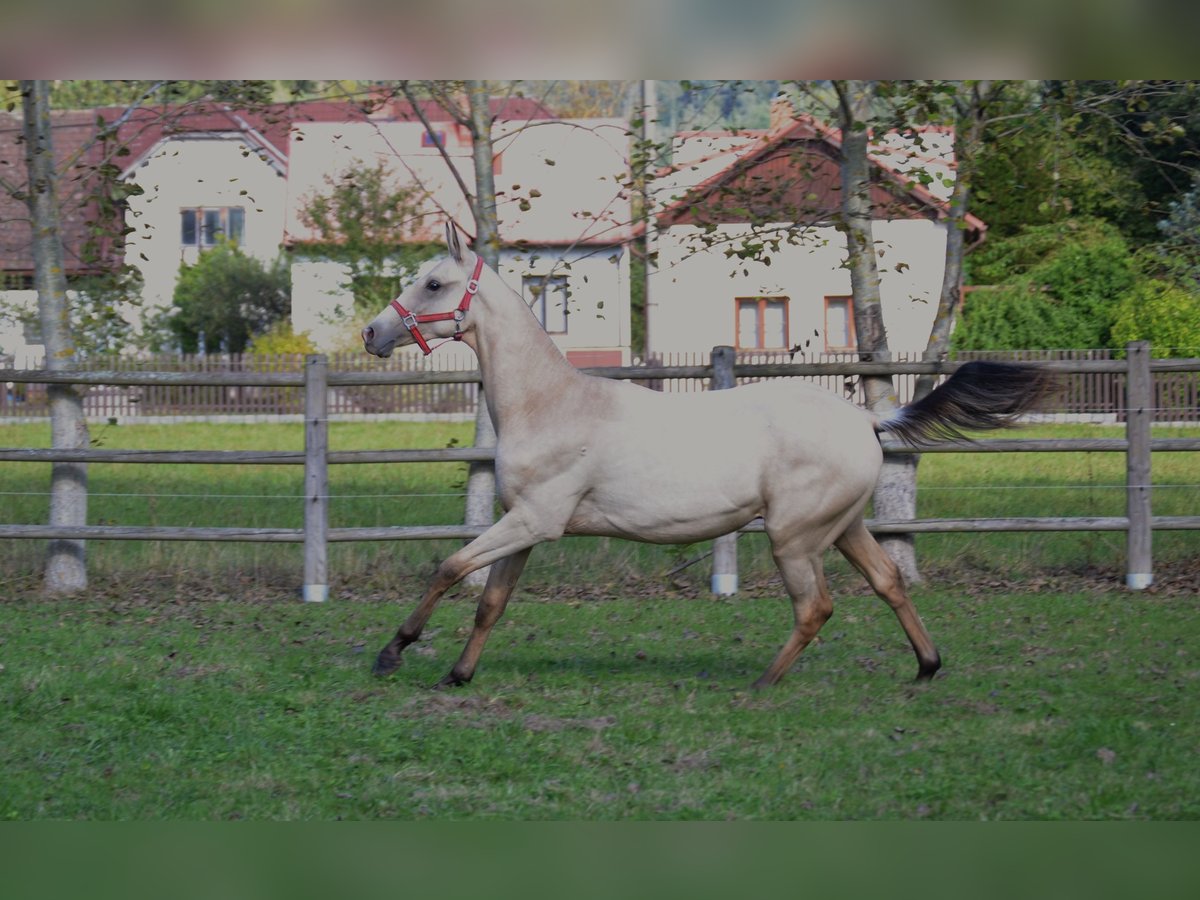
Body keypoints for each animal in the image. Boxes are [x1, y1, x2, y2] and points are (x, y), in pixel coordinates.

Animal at [360, 225, 1056, 691]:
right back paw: (926, 667)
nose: (372, 332)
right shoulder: (524, 526)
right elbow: (490, 602)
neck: (550, 403)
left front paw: (393, 652)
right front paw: (457, 674)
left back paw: (765, 683)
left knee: (816, 607)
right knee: (887, 582)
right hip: (843, 527)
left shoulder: (534, 521)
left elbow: (450, 568)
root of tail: (867, 420)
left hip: (793, 537)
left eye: (434, 282)